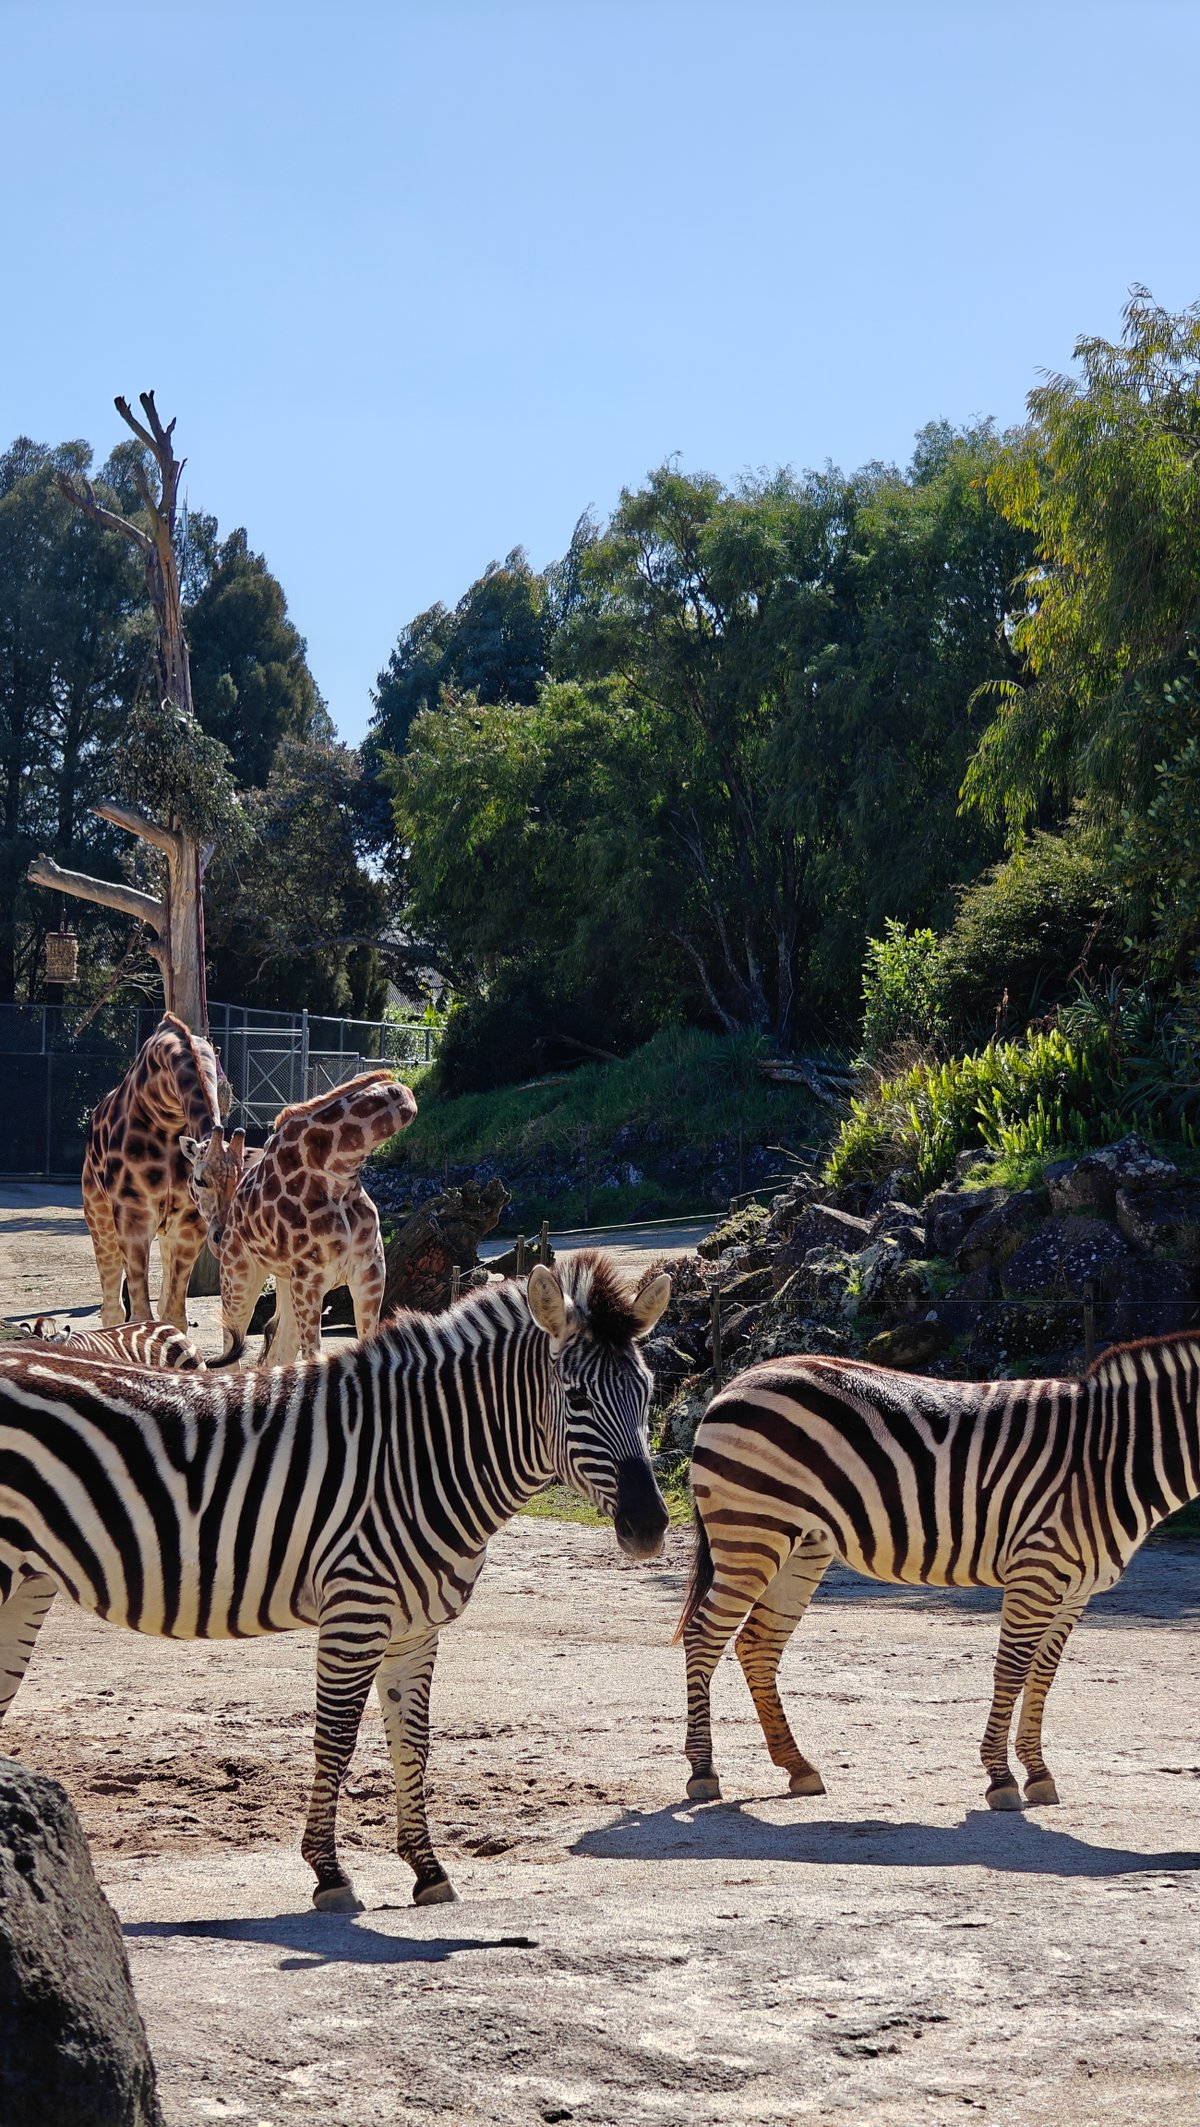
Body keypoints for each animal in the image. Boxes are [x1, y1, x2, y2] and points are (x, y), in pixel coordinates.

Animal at [0, 1253, 670, 1908]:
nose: (650, 1528)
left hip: (28, 1582)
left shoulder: (416, 1628)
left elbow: (412, 1740)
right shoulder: (357, 1609)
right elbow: (338, 1736)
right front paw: (329, 1873)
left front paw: (426, 1869)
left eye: (646, 1392)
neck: (421, 1456)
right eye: (576, 1398)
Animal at [82, 1013, 232, 1331]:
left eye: (240, 1182)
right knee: (111, 1308)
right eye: (199, 1180)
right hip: (99, 1217)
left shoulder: (189, 1222)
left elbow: (173, 1316)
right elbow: (139, 1316)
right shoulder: (133, 1215)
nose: (221, 1239)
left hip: (166, 1230)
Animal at [183, 1069, 418, 1364]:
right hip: (239, 1274)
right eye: (199, 1180)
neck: (339, 1171)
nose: (218, 1236)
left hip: (282, 1281)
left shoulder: (370, 1275)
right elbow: (312, 1355)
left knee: (277, 1352)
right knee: (233, 1351)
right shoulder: (309, 1281)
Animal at [677, 1332, 1200, 1814]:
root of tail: (738, 1380)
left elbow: (1042, 1675)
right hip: (751, 1531)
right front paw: (1001, 1778)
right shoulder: (1037, 1571)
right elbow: (1012, 1669)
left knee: (757, 1645)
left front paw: (1038, 1773)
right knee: (704, 1635)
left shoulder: (1074, 1590)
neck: (1110, 1459)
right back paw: (704, 1773)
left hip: (802, 1544)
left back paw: (798, 1767)